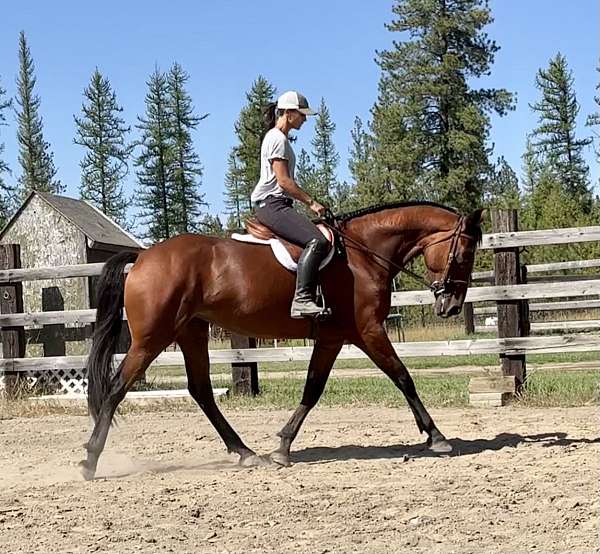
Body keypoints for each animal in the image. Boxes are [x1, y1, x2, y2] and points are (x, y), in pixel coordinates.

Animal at [81, 201, 482, 476]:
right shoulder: (368, 331)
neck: (363, 253)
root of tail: (143, 256)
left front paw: (283, 447)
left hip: (190, 332)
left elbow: (312, 389)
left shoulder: (332, 338)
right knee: (117, 388)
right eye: (463, 254)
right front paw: (437, 437)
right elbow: (403, 376)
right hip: (151, 338)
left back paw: (245, 452)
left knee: (201, 391)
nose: (450, 306)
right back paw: (90, 460)